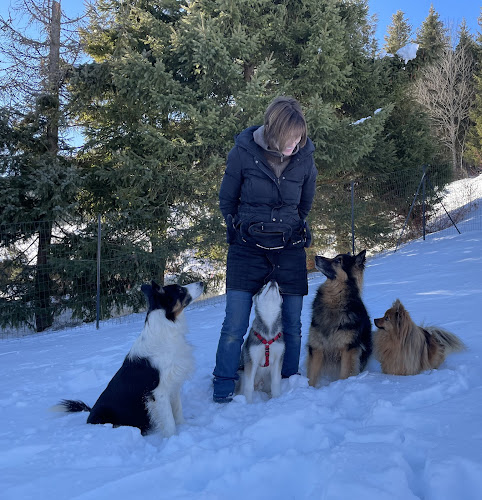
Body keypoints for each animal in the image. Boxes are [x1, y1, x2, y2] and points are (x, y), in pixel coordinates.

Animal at [54, 282, 203, 438]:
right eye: (180, 289)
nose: (201, 283)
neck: (166, 328)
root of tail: (89, 415)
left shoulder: (173, 384)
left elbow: (178, 413)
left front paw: (186, 428)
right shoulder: (158, 392)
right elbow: (169, 422)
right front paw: (173, 438)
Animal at [306, 250, 370, 386]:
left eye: (338, 261)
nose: (316, 257)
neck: (334, 298)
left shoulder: (348, 349)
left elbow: (345, 374)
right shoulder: (317, 347)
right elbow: (312, 376)